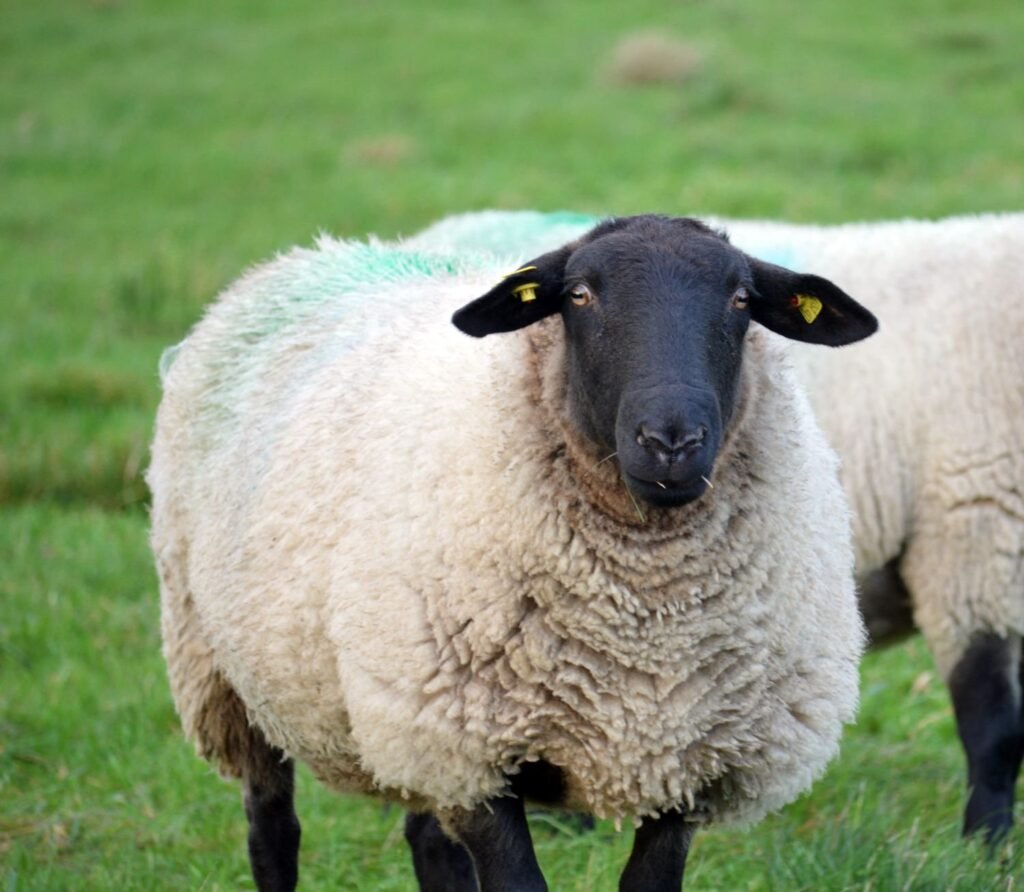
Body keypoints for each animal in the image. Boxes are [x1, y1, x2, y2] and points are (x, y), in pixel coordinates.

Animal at [147, 214, 877, 891]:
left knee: (429, 843)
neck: (643, 624)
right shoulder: (476, 759)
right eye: (579, 294)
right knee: (272, 829)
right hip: (228, 674)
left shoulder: (689, 771)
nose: (671, 441)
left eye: (741, 298)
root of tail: (309, 254)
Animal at [413, 209, 1024, 844]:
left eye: (741, 298)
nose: (671, 441)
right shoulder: (971, 539)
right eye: (578, 294)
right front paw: (987, 846)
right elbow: (994, 727)